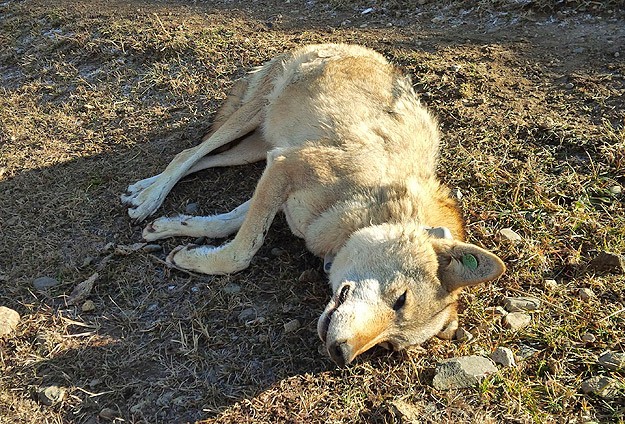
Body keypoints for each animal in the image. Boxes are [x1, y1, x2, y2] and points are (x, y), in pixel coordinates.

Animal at [120, 44, 502, 366]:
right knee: (189, 153)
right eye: (401, 300)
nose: (341, 355)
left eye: (389, 345)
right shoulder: (283, 166)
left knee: (202, 160)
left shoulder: (276, 177)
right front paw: (188, 252)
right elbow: (243, 251)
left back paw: (142, 190)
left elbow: (226, 224)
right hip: (251, 123)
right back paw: (148, 198)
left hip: (256, 149)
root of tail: (355, 46)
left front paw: (175, 235)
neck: (369, 203)